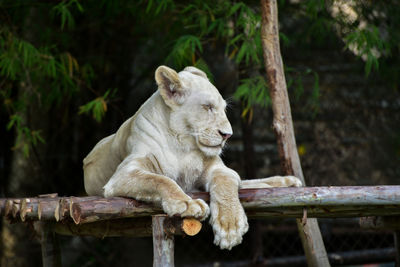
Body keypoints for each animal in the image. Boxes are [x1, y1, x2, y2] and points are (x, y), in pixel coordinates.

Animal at [85, 66, 304, 250]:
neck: (183, 145)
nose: (228, 134)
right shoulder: (124, 173)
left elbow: (225, 183)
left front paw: (229, 225)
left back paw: (288, 182)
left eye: (223, 108)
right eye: (207, 107)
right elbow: (160, 179)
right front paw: (187, 204)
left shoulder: (219, 169)